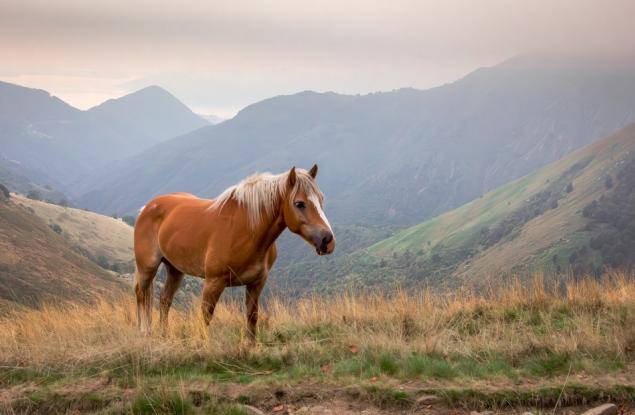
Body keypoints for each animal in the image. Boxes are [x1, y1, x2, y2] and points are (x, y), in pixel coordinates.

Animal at [132, 164, 336, 340]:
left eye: (321, 199)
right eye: (299, 203)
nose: (328, 240)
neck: (245, 229)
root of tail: (148, 207)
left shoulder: (256, 283)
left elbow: (252, 318)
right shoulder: (213, 283)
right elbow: (205, 317)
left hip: (175, 270)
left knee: (164, 300)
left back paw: (164, 335)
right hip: (147, 268)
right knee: (141, 295)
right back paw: (144, 332)